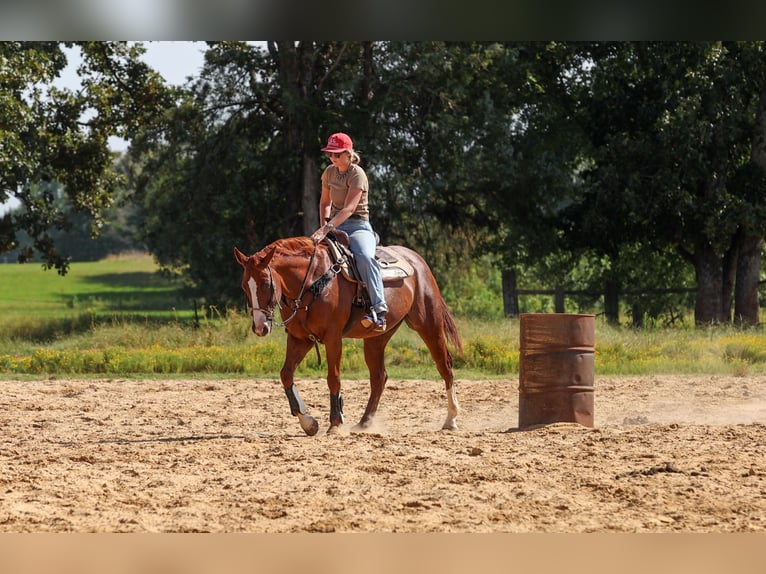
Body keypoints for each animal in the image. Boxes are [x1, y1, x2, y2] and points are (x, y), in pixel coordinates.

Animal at [234, 235, 462, 436]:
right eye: (244, 286)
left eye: (266, 283)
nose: (260, 327)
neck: (312, 281)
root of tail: (417, 260)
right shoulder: (300, 339)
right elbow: (286, 374)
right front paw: (309, 423)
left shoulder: (333, 338)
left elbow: (333, 378)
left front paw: (335, 424)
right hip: (376, 338)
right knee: (379, 376)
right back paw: (364, 423)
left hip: (429, 325)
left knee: (445, 366)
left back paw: (451, 420)